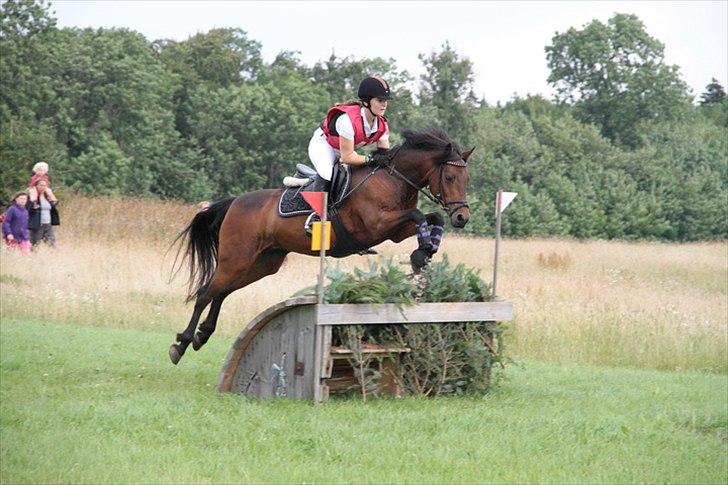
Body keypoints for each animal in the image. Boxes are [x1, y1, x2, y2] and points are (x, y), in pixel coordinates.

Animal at [169, 128, 474, 365]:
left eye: (466, 179)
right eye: (449, 178)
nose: (461, 217)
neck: (394, 179)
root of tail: (234, 202)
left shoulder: (395, 231)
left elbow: (431, 218)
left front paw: (426, 250)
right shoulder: (376, 225)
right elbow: (419, 214)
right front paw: (421, 254)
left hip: (262, 263)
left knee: (222, 292)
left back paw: (202, 335)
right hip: (237, 258)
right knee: (206, 292)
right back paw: (182, 344)